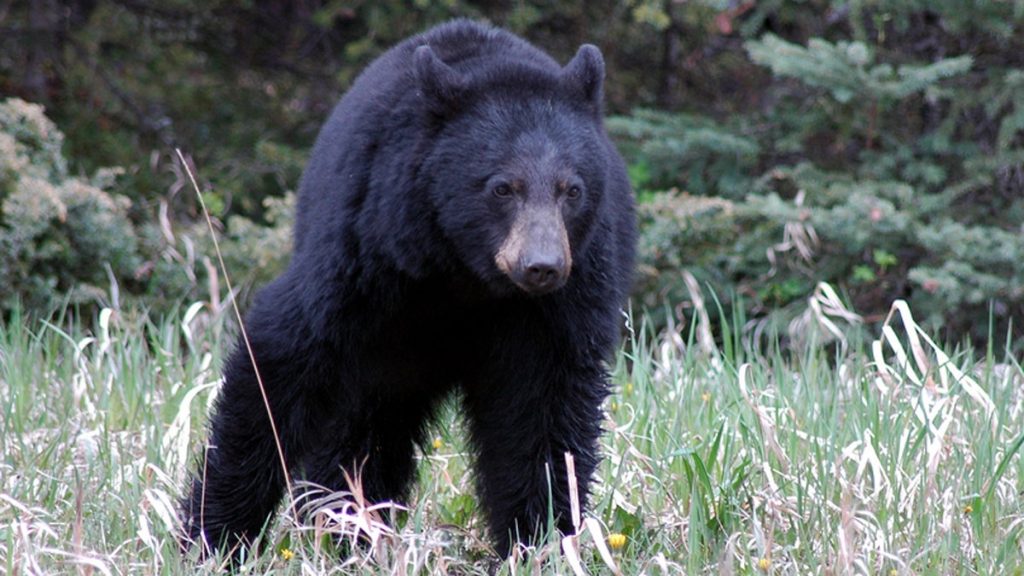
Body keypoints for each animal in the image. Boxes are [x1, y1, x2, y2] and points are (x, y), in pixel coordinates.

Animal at [182, 19, 636, 559]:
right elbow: (280, 363)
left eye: (573, 190)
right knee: (362, 430)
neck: (466, 274)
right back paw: (347, 526)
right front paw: (214, 534)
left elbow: (544, 411)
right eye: (502, 187)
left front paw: (538, 537)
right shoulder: (365, 255)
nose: (542, 266)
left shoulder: (562, 303)